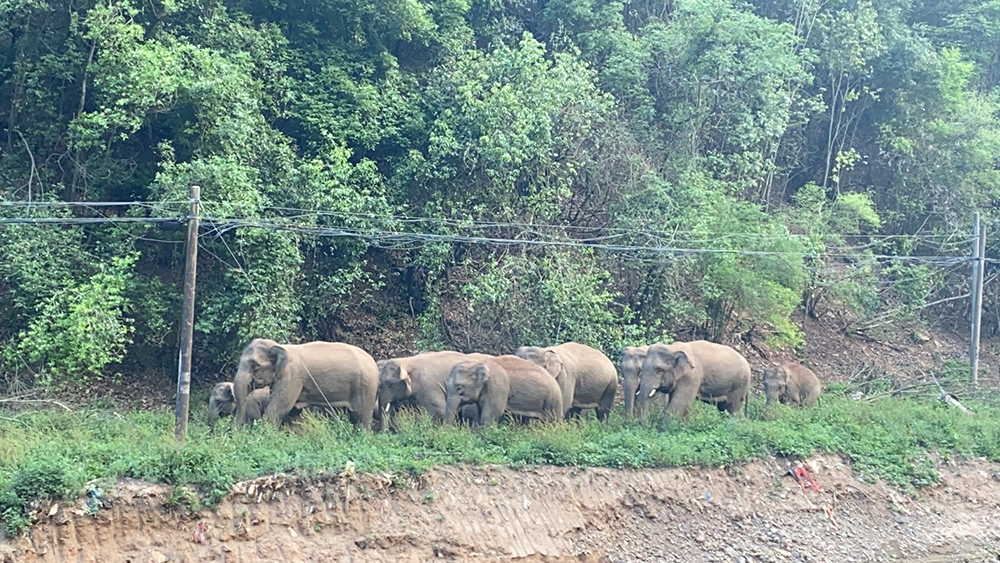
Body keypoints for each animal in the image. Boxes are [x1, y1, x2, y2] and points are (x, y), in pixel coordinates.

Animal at [232, 342, 380, 430]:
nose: (237, 432)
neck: (278, 346)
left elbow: (278, 408)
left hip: (366, 385)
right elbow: (293, 412)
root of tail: (373, 361)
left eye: (255, 367)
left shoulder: (292, 377)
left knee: (362, 414)